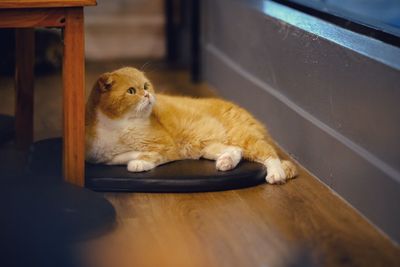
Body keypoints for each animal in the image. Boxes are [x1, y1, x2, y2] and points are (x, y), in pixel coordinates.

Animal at [85, 67, 296, 184]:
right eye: (131, 91)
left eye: (145, 86)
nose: (147, 95)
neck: (119, 128)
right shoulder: (99, 156)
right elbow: (115, 158)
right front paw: (131, 157)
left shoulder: (167, 146)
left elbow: (150, 156)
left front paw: (139, 163)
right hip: (206, 147)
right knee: (236, 151)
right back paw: (226, 162)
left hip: (241, 136)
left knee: (268, 153)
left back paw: (276, 174)